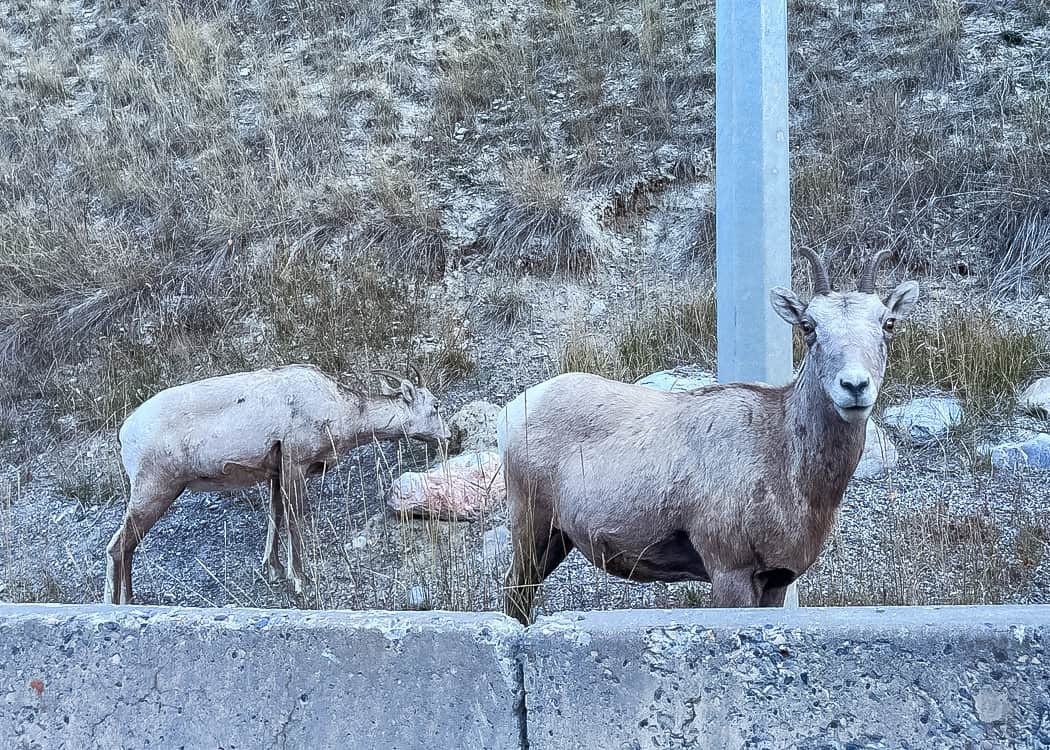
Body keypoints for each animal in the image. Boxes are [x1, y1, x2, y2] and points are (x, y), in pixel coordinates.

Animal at [105, 365, 449, 604]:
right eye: (435, 405)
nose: (448, 437)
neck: (338, 410)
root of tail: (125, 433)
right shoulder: (294, 465)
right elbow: (295, 520)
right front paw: (300, 581)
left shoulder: (274, 473)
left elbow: (275, 517)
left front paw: (273, 570)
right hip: (155, 490)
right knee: (118, 546)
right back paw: (121, 602)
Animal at [498, 250, 919, 623]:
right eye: (808, 326)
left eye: (888, 323)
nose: (854, 386)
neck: (784, 459)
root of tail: (515, 410)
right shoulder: (729, 571)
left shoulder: (776, 580)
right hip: (532, 526)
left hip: (557, 538)